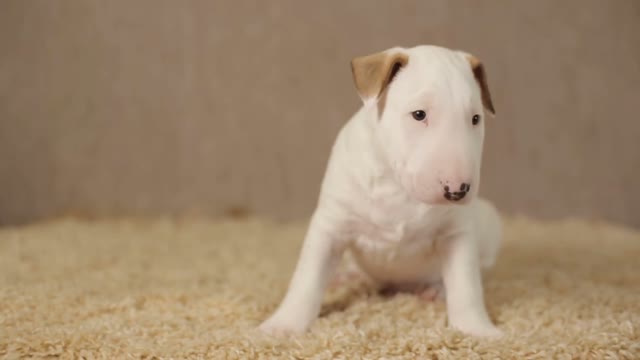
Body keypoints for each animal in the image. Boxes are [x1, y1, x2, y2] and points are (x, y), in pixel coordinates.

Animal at [260, 44, 504, 338]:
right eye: (419, 114)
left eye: (476, 119)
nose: (458, 190)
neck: (397, 187)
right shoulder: (330, 224)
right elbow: (307, 278)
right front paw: (283, 325)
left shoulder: (458, 234)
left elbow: (466, 284)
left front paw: (476, 329)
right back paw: (347, 276)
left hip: (489, 220)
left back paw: (434, 290)